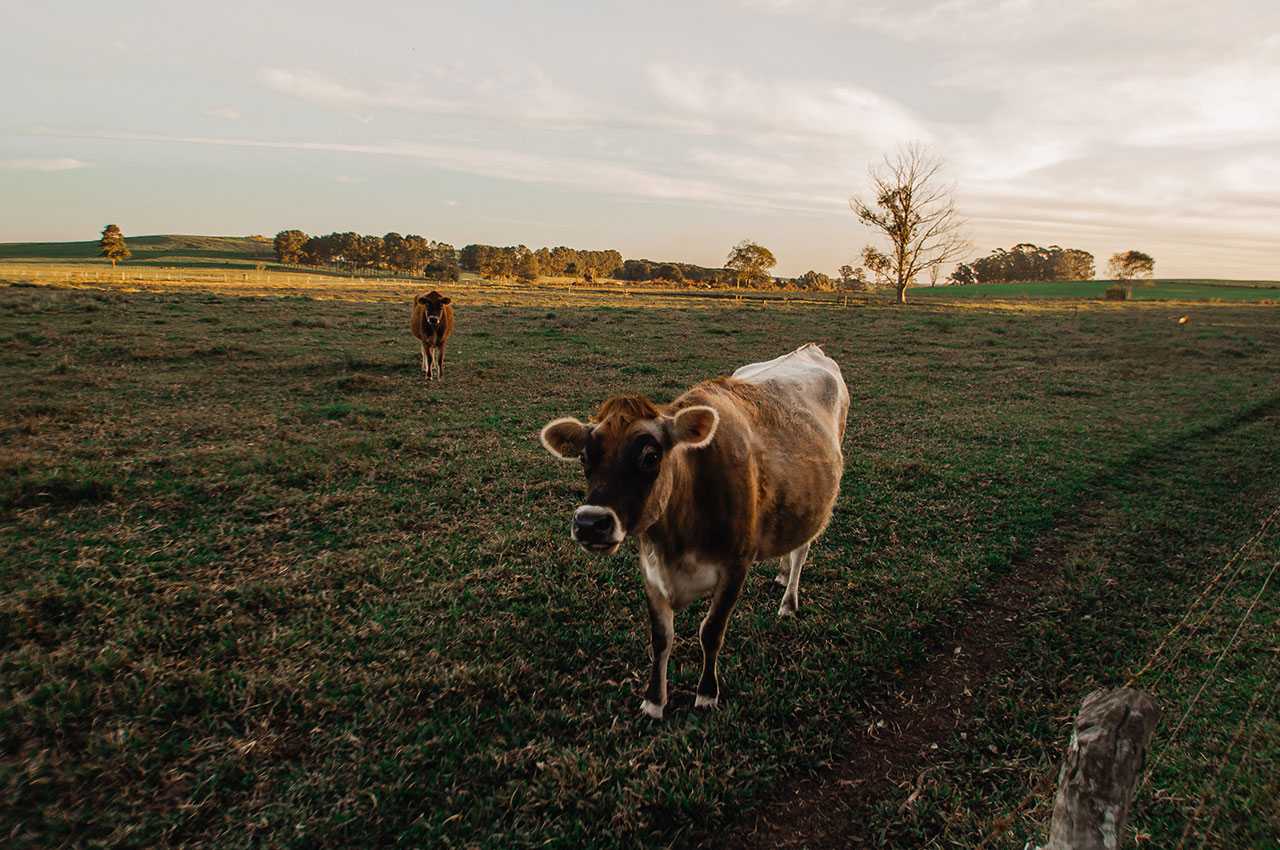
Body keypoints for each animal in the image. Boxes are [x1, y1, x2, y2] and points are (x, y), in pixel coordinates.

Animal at [540, 343, 849, 721]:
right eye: (585, 458)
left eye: (651, 456)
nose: (589, 523)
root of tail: (809, 349)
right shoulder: (650, 568)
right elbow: (661, 637)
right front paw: (654, 701)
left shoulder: (736, 565)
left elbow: (711, 631)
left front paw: (706, 694)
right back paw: (779, 574)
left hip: (817, 503)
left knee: (801, 550)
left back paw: (788, 601)